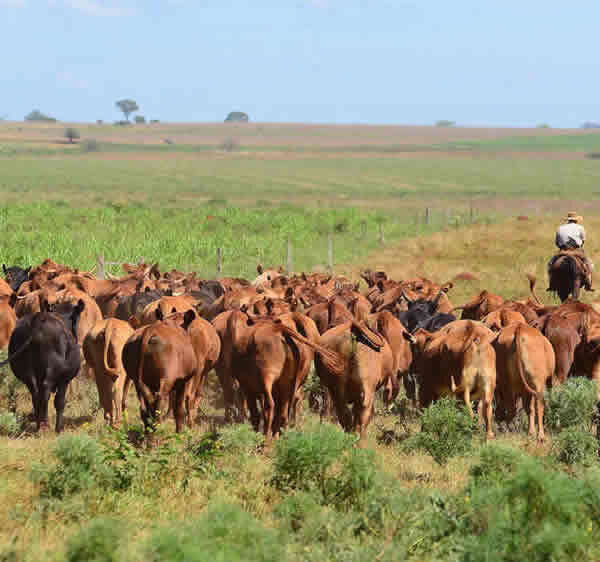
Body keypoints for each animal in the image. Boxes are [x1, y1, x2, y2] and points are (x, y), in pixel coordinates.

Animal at [4, 300, 84, 430]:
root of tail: (37, 320)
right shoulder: (65, 379)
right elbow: (60, 401)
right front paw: (59, 429)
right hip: (52, 370)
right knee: (46, 390)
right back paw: (45, 425)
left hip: (26, 371)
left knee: (36, 393)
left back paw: (38, 424)